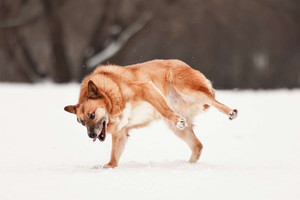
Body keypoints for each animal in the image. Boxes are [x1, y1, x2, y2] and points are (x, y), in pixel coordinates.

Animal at [64, 59, 238, 167]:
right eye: (82, 122)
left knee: (212, 100)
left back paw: (230, 111)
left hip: (187, 88)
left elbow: (164, 109)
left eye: (92, 115)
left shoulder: (146, 88)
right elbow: (113, 159)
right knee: (197, 145)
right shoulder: (121, 133)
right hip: (179, 129)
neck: (112, 96)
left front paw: (176, 118)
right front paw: (105, 167)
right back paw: (187, 166)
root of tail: (182, 63)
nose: (91, 135)